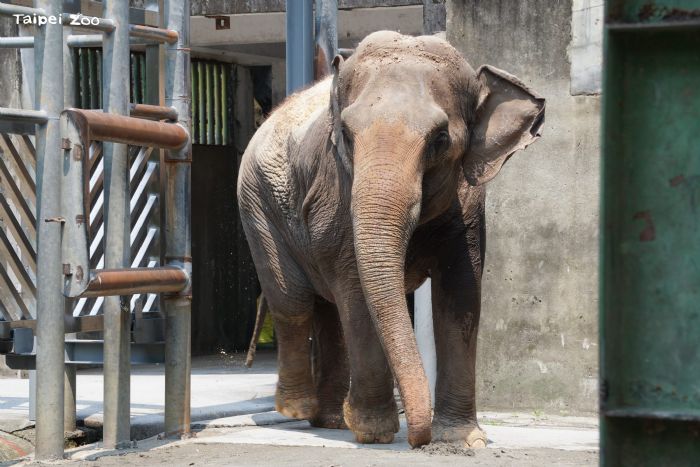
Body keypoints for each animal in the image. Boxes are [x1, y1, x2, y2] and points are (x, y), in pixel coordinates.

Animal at [237, 31, 545, 448]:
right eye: (346, 135)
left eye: (440, 138)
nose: (419, 440)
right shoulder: (337, 195)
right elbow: (356, 292)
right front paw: (374, 432)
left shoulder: (469, 206)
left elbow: (461, 293)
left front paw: (463, 440)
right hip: (257, 203)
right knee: (294, 298)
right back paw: (297, 410)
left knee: (327, 308)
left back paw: (331, 421)